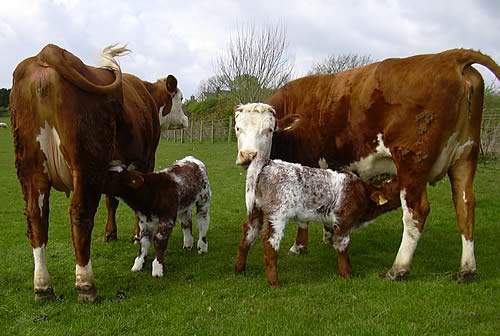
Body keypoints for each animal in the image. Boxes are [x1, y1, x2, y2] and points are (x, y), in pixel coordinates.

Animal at [9, 44, 189, 302]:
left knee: (36, 218)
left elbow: (111, 201)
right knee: (80, 215)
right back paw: (86, 284)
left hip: (31, 170)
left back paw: (42, 286)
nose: (186, 118)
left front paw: (110, 234)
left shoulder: (112, 169)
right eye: (181, 98)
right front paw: (136, 235)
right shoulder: (145, 160)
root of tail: (48, 51)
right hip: (87, 166)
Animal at [234, 49, 500, 280]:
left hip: (411, 164)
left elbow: (303, 217)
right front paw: (328, 235)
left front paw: (299, 247)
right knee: (465, 207)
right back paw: (467, 269)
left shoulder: (305, 164)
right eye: (237, 128)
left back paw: (398, 269)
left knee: (416, 211)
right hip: (465, 158)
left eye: (269, 130)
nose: (248, 156)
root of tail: (450, 56)